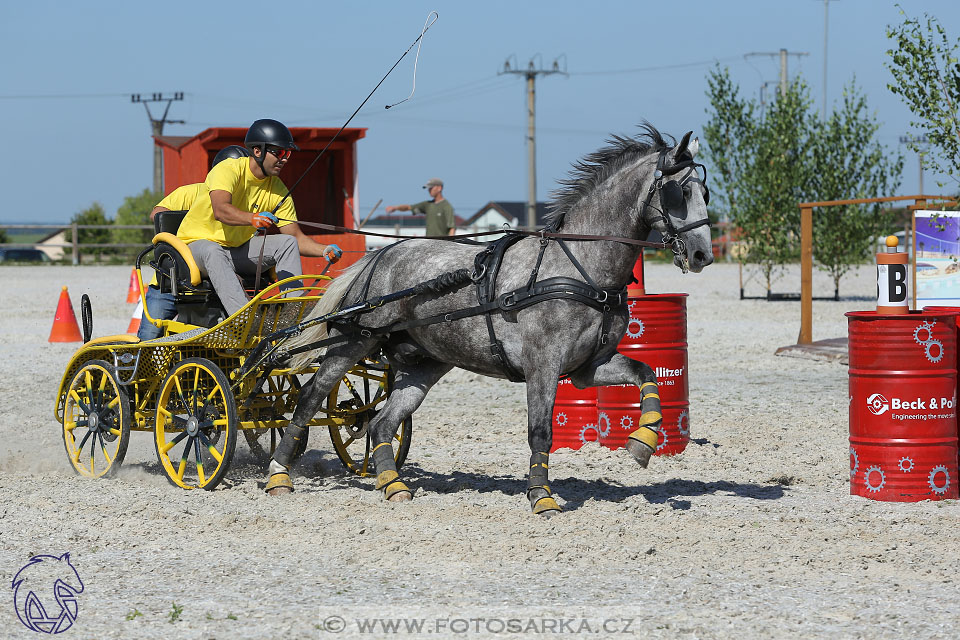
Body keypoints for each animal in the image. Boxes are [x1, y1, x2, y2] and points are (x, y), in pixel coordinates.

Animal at [266, 125, 708, 516]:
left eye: (705, 192)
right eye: (679, 192)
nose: (702, 254)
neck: (580, 269)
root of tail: (378, 256)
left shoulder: (587, 367)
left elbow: (646, 373)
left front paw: (643, 441)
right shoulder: (543, 364)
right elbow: (540, 430)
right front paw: (541, 496)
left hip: (422, 365)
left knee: (381, 423)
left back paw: (393, 485)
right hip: (353, 343)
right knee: (310, 398)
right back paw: (278, 474)